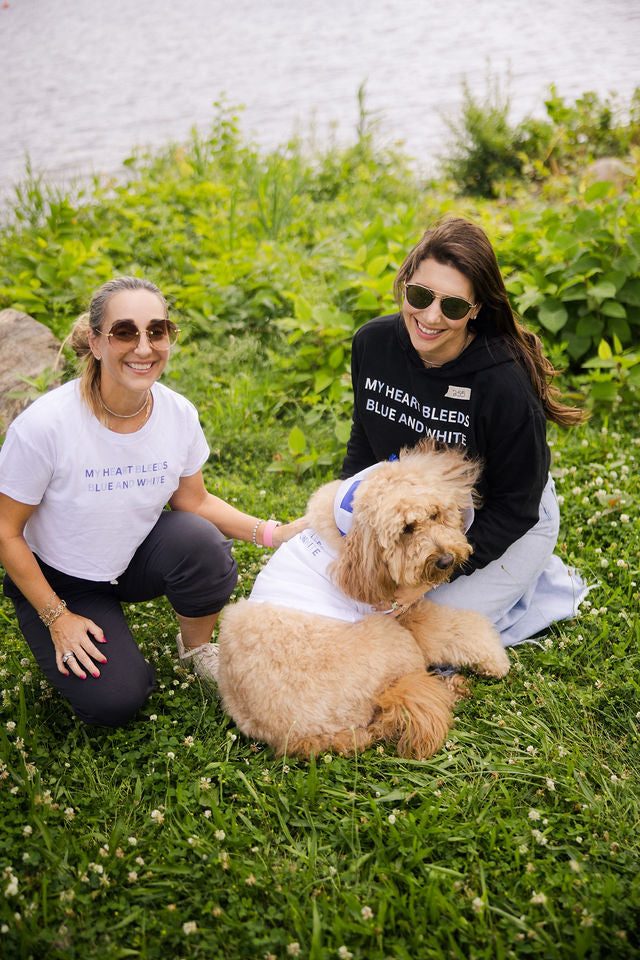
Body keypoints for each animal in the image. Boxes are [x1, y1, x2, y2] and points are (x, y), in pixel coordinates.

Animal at [218, 438, 508, 760]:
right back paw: (452, 687)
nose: (445, 560)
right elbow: (453, 629)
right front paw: (495, 660)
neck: (351, 539)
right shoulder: (399, 613)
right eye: (406, 529)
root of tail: (296, 738)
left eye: (435, 515)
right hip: (389, 640)